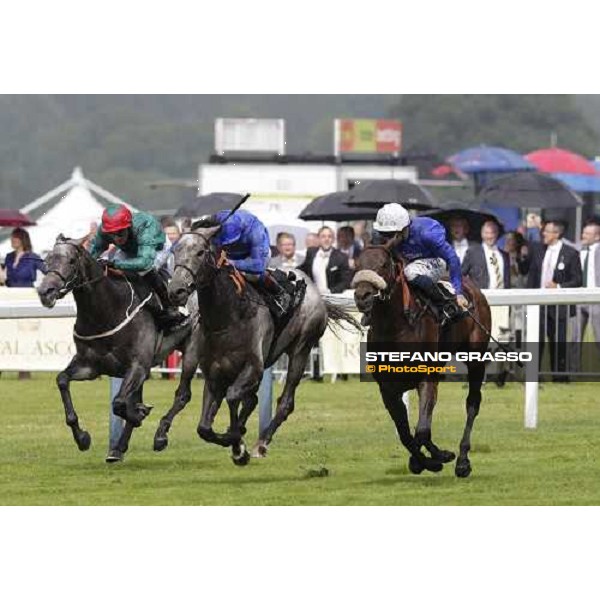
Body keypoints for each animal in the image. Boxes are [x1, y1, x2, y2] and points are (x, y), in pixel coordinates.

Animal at [37, 237, 203, 462]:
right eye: (47, 260)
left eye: (71, 261)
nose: (45, 292)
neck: (106, 311)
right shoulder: (91, 366)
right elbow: (62, 380)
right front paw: (82, 438)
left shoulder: (138, 366)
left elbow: (119, 403)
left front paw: (139, 414)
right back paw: (118, 448)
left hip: (192, 349)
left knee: (183, 394)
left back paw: (160, 436)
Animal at [157, 221, 358, 464]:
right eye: (175, 251)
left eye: (200, 252)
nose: (175, 290)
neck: (228, 317)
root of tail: (317, 293)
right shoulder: (213, 373)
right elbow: (203, 425)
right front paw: (232, 439)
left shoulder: (253, 367)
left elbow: (233, 397)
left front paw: (237, 445)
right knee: (247, 399)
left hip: (301, 349)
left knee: (285, 401)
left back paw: (260, 443)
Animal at [354, 244, 490, 478]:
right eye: (357, 264)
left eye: (383, 264)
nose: (362, 296)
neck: (395, 328)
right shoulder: (387, 389)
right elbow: (406, 434)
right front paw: (431, 459)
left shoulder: (426, 378)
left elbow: (421, 431)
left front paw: (435, 459)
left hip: (476, 359)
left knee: (472, 403)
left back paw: (463, 460)